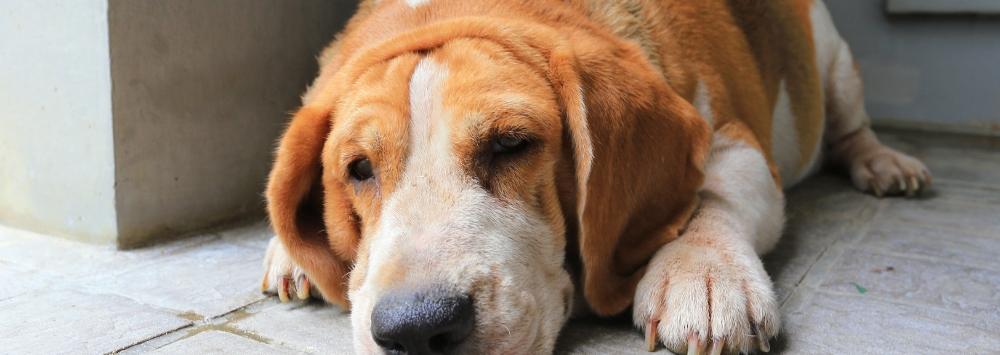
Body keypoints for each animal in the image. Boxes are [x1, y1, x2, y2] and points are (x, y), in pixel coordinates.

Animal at [256, 1, 928, 354]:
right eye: (358, 169)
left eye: (511, 144)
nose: (416, 330)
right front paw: (289, 252)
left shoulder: (738, 144)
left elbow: (709, 191)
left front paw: (704, 273)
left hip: (836, 66)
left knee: (851, 127)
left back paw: (884, 164)